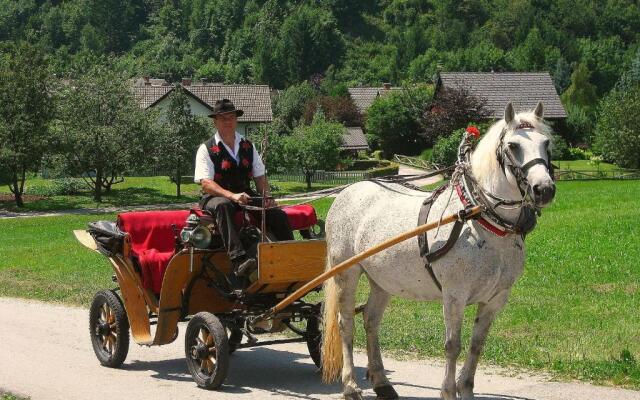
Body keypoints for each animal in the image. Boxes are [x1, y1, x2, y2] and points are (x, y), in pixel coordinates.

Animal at [322, 102, 556, 400]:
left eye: (546, 143)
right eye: (513, 145)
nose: (544, 190)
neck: (479, 219)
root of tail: (348, 191)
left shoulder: (496, 299)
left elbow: (477, 345)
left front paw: (465, 389)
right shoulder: (454, 295)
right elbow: (453, 345)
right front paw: (448, 391)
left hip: (382, 280)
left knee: (371, 321)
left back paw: (381, 382)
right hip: (347, 274)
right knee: (346, 325)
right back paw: (351, 386)